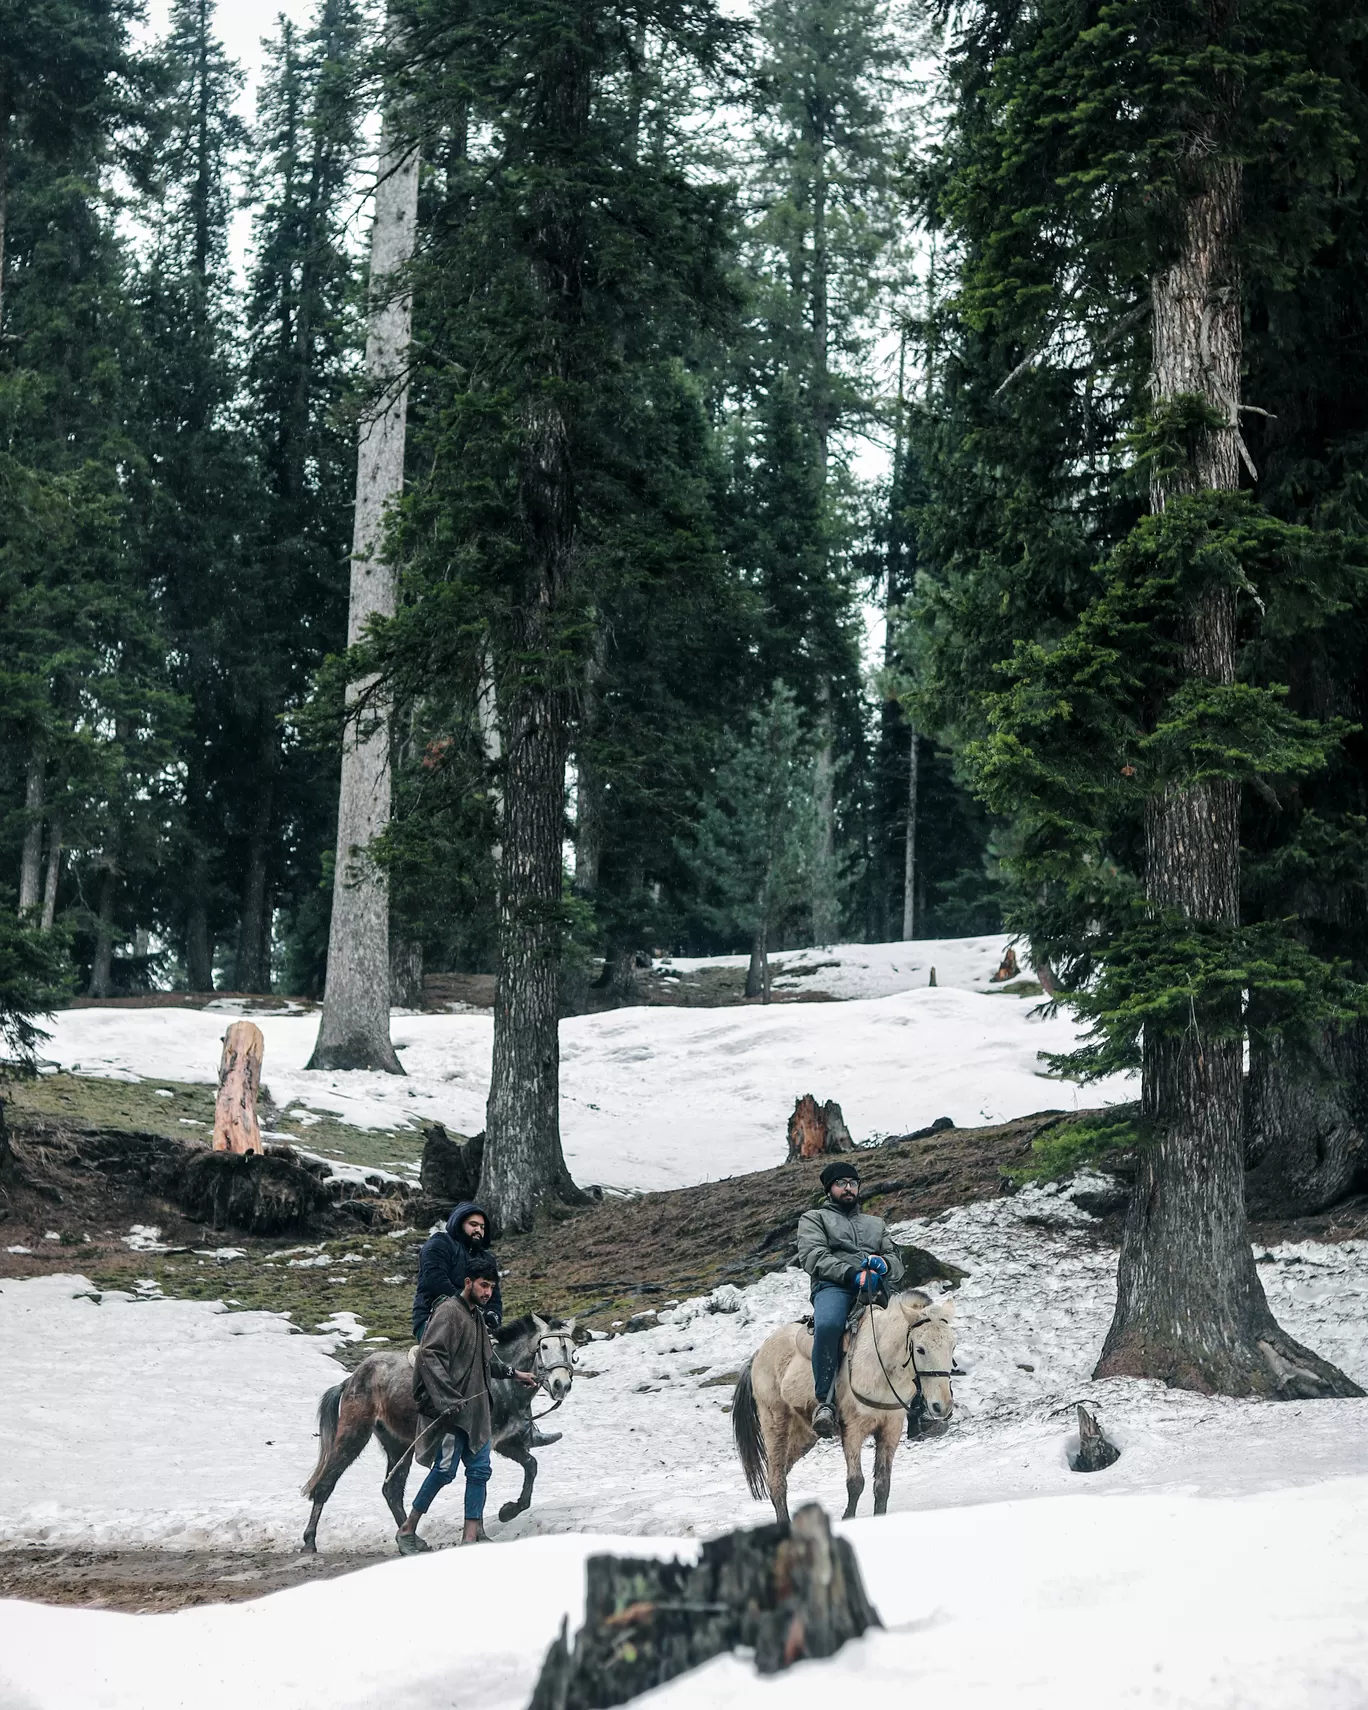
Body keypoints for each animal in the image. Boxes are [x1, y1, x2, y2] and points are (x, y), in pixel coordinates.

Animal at [731, 1292, 957, 1525]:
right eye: (920, 1349)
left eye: (953, 1346)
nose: (942, 1406)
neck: (879, 1363)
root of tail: (757, 1355)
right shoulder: (853, 1429)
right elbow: (856, 1482)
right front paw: (848, 1518)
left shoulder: (890, 1429)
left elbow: (882, 1484)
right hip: (775, 1422)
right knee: (776, 1479)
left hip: (805, 1434)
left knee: (782, 1470)